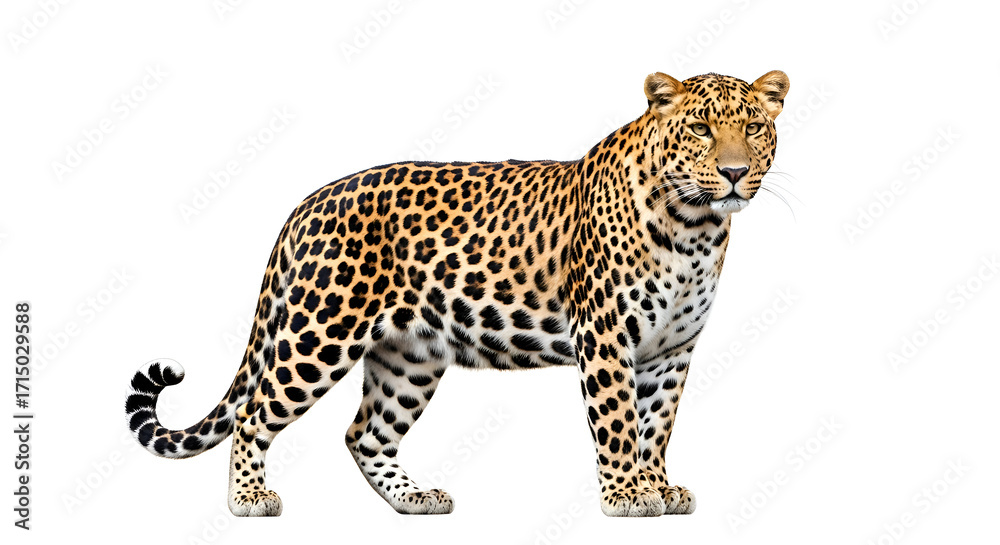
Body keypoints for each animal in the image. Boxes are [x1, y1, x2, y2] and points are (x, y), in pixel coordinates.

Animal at [125, 70, 790, 517]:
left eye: (754, 127)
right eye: (701, 128)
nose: (734, 173)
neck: (695, 229)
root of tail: (305, 204)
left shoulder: (671, 350)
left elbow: (657, 423)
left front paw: (658, 486)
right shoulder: (606, 338)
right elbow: (620, 421)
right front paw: (627, 495)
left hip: (410, 357)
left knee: (365, 433)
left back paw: (414, 499)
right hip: (319, 335)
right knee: (254, 413)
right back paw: (250, 497)